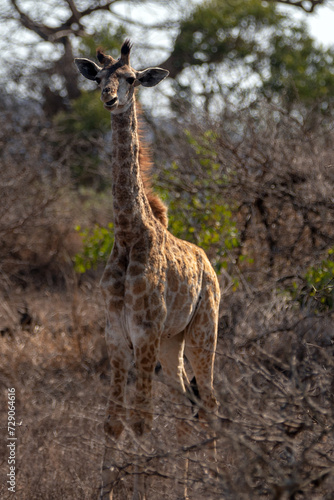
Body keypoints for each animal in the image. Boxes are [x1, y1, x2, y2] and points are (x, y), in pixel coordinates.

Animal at [76, 40, 222, 500]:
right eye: (99, 78)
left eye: (131, 78)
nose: (110, 99)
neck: (129, 235)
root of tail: (210, 266)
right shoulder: (116, 335)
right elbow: (114, 422)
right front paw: (104, 490)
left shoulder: (144, 334)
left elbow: (141, 422)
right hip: (174, 342)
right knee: (188, 400)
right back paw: (189, 488)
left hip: (203, 330)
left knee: (209, 401)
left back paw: (218, 482)